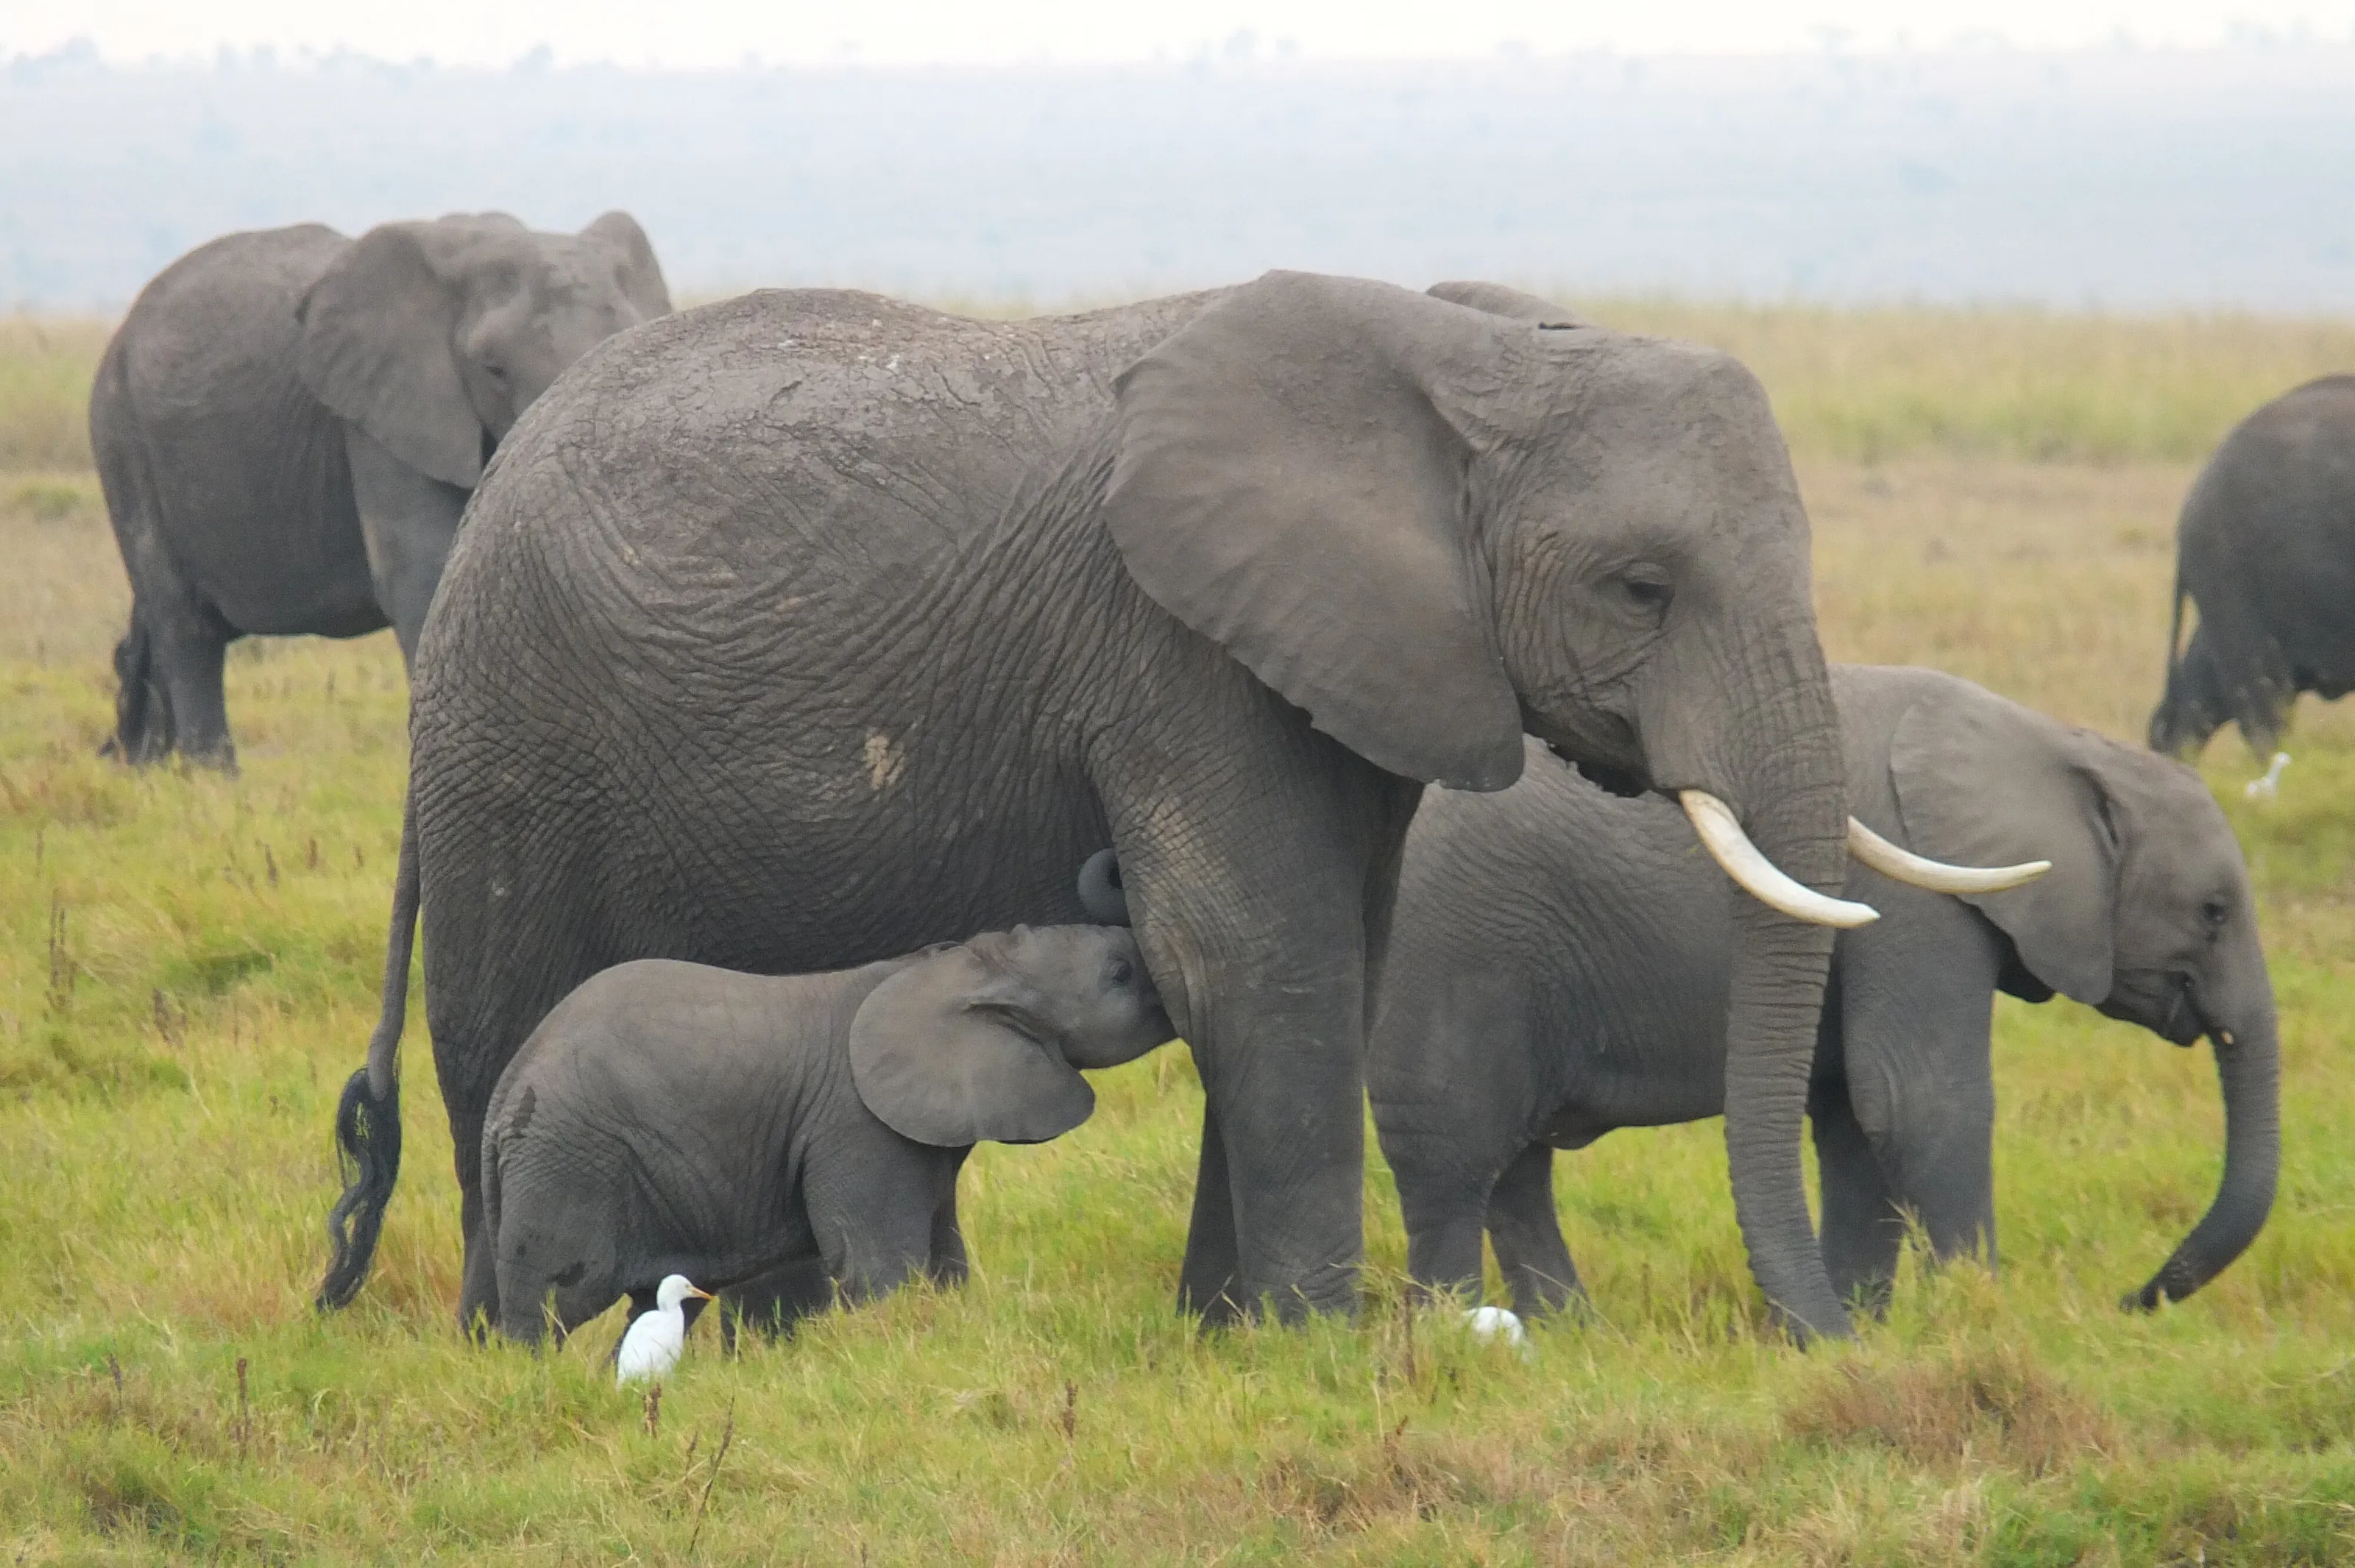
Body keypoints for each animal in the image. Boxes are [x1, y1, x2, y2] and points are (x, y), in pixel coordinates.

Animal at [89, 211, 671, 768]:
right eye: (494, 370)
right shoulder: (383, 413)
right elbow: (422, 574)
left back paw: (144, 768)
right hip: (123, 439)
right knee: (186, 626)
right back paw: (213, 783)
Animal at [481, 924, 1173, 1346]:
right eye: (1119, 973)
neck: (952, 965)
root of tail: (506, 1088)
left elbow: (947, 1261)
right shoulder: (858, 1127)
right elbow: (879, 1271)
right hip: (565, 1163)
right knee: (547, 1308)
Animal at [1371, 664, 2279, 1320]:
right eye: (2212, 911)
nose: (2129, 1300)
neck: (2057, 744)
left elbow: (1854, 1120)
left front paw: (1862, 1331)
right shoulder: (1917, 907)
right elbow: (1919, 1101)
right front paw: (1978, 1317)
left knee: (1514, 1168)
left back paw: (1572, 1335)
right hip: (1450, 951)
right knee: (1450, 1158)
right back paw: (1461, 1337)